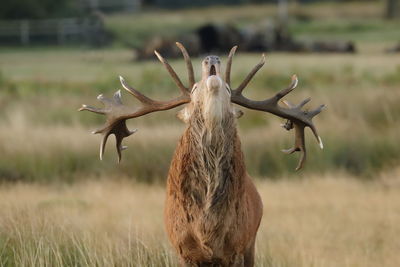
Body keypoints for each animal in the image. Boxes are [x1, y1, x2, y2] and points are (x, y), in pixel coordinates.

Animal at [79, 43, 324, 266]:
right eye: (195, 88)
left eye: (228, 90)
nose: (212, 58)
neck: (207, 226)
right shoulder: (183, 248)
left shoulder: (237, 246)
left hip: (251, 243)